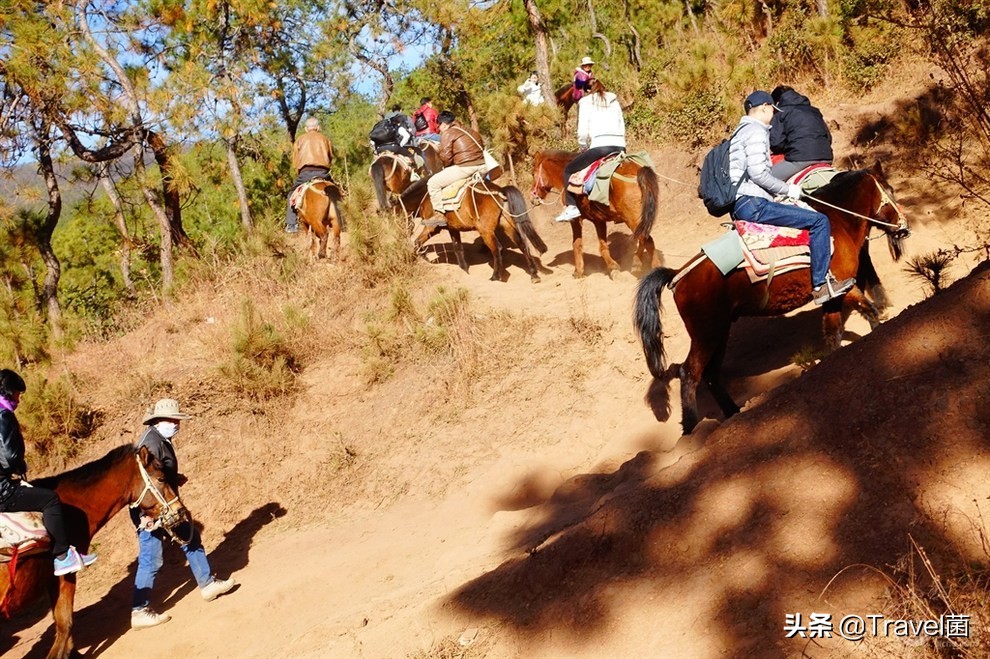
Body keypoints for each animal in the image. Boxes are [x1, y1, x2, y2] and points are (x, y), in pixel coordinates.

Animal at [2, 444, 186, 659]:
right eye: (161, 478)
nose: (180, 511)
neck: (71, 511)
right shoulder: (65, 575)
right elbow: (65, 623)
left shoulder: (51, 579)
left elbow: (62, 627)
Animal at [398, 178, 552, 284]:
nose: (401, 232)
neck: (425, 196)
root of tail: (500, 191)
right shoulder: (453, 228)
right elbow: (457, 248)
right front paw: (464, 269)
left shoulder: (432, 227)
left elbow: (417, 242)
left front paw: (424, 258)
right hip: (507, 225)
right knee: (522, 245)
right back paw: (534, 275)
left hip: (485, 231)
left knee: (497, 249)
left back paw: (495, 276)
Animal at [532, 149, 664, 278]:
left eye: (533, 173)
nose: (532, 197)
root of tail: (638, 171)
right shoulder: (599, 220)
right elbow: (603, 246)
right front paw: (612, 268)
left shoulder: (576, 220)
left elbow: (577, 244)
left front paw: (578, 271)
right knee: (645, 239)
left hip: (632, 218)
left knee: (646, 240)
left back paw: (643, 265)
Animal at [640, 162, 912, 436]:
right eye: (890, 190)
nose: (904, 227)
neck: (836, 220)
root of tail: (678, 274)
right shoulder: (844, 286)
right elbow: (867, 310)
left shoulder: (832, 296)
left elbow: (832, 332)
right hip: (707, 333)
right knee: (690, 373)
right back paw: (691, 430)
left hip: (719, 331)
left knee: (711, 375)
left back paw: (733, 413)